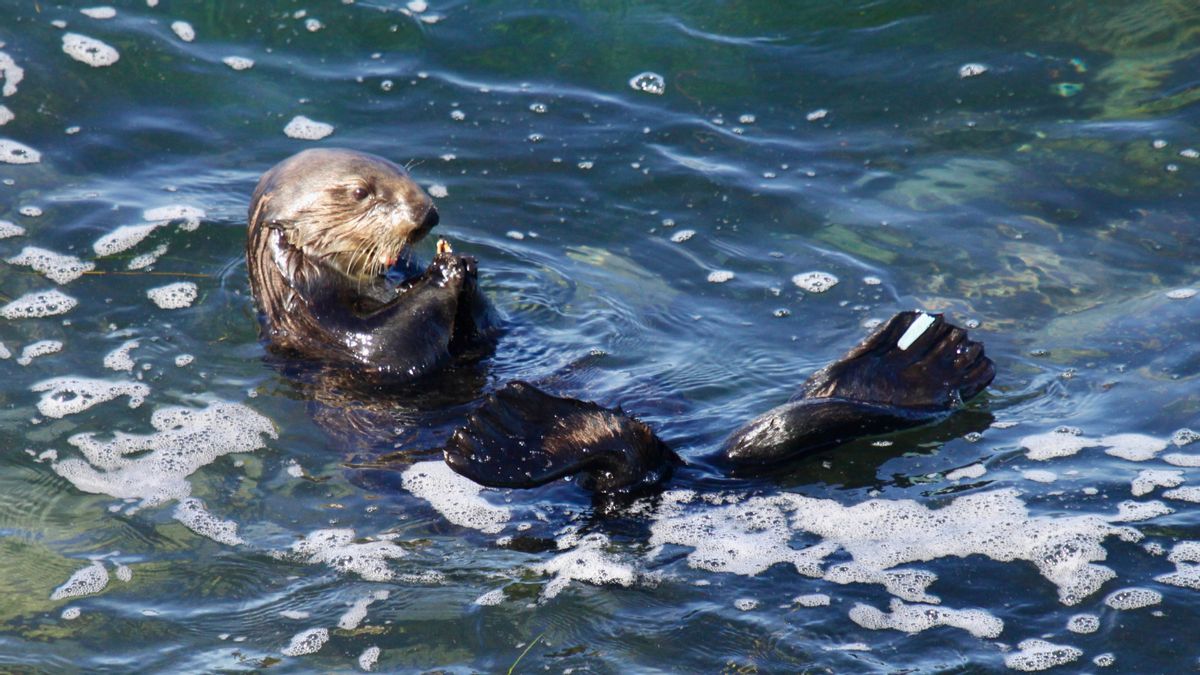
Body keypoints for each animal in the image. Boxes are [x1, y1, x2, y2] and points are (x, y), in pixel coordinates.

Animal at [247, 148, 995, 495]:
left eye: (405, 176)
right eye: (360, 192)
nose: (428, 214)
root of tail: (694, 466)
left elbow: (482, 336)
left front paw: (457, 263)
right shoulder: (323, 330)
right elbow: (391, 348)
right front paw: (441, 274)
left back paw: (923, 357)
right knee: (623, 459)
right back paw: (510, 428)